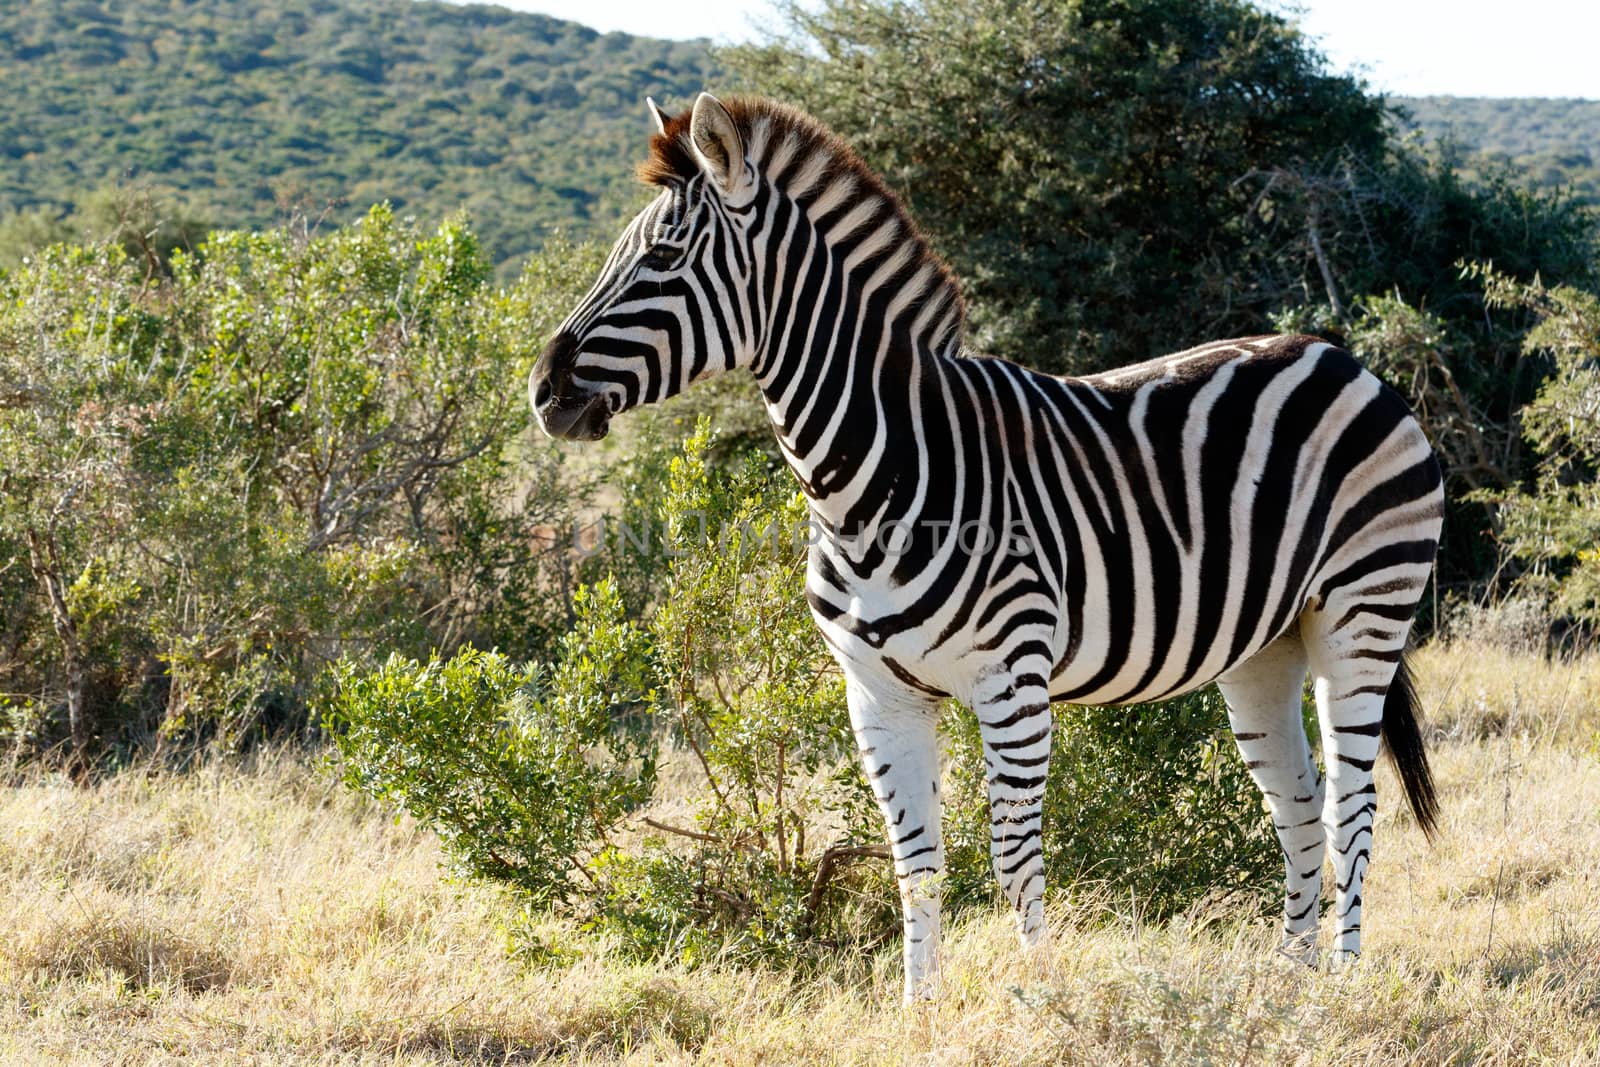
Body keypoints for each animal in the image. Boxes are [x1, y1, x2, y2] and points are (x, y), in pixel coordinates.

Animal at [531, 91, 1446, 1004]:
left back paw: (1344, 980)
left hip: (1362, 610)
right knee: (1298, 805)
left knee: (1352, 804)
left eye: (662, 257)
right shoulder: (878, 694)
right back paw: (1291, 981)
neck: (873, 475)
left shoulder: (1011, 679)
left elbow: (1013, 858)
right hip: (1264, 647)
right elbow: (915, 863)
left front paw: (1042, 998)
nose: (542, 391)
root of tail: (1344, 358)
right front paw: (918, 1008)